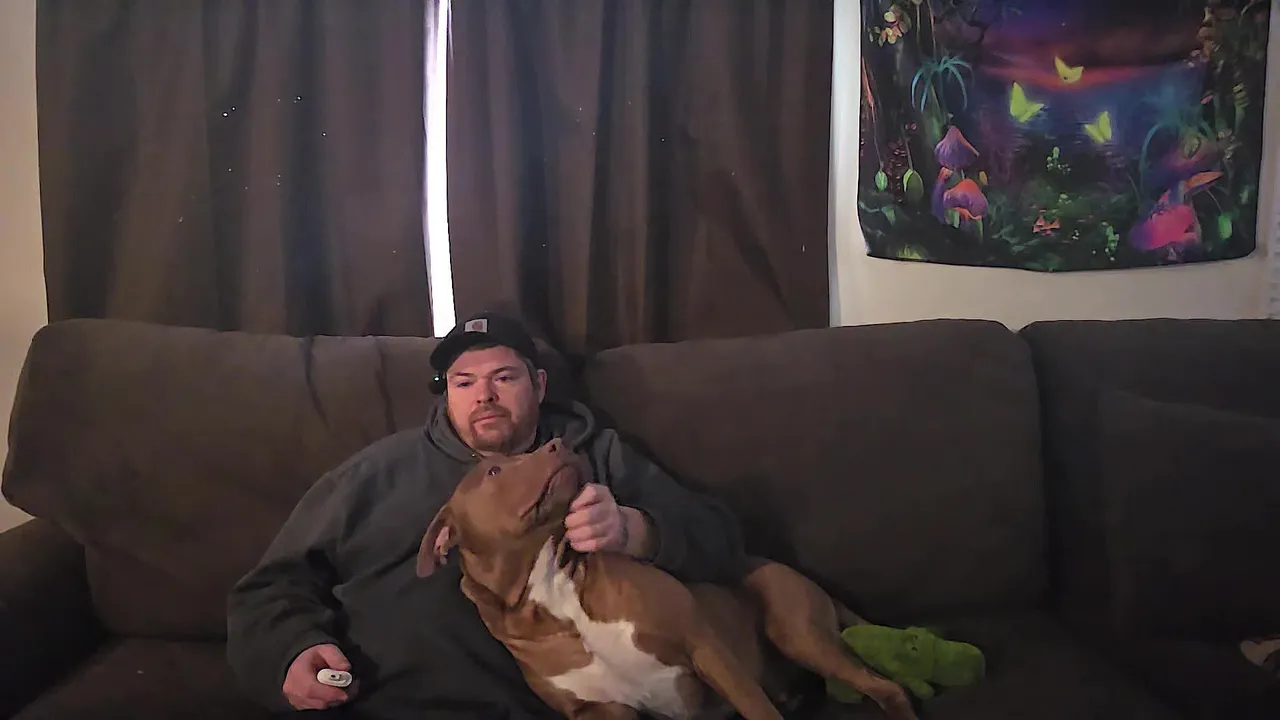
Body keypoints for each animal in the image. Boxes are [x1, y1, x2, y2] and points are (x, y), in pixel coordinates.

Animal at [415, 438, 917, 720]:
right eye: (494, 470)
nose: (557, 441)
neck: (554, 592)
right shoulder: (601, 712)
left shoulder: (706, 647)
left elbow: (758, 710)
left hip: (795, 630)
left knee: (887, 686)